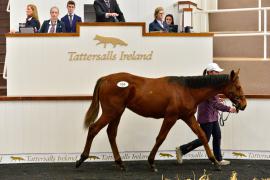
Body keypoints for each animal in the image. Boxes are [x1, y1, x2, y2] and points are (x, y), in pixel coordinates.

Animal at [76, 70, 247, 172]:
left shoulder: (188, 117)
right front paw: (151, 162)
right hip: (111, 112)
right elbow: (160, 138)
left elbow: (202, 136)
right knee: (93, 129)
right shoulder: (170, 117)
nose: (244, 105)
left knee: (111, 133)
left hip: (117, 113)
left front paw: (215, 162)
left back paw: (120, 163)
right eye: (238, 87)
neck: (187, 90)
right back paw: (81, 159)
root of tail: (105, 79)